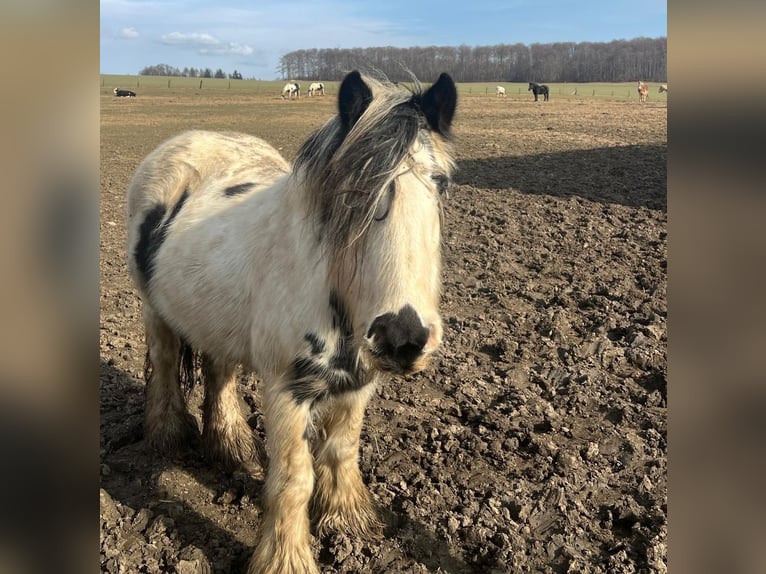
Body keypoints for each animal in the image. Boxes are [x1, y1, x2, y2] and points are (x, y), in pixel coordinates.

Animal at [125, 70, 457, 574]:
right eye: (353, 194)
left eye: (439, 182)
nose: (402, 335)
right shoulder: (287, 391)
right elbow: (293, 479)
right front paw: (286, 558)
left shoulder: (359, 383)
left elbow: (341, 449)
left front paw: (348, 520)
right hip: (154, 310)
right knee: (164, 364)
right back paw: (168, 437)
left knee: (220, 373)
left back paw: (229, 445)